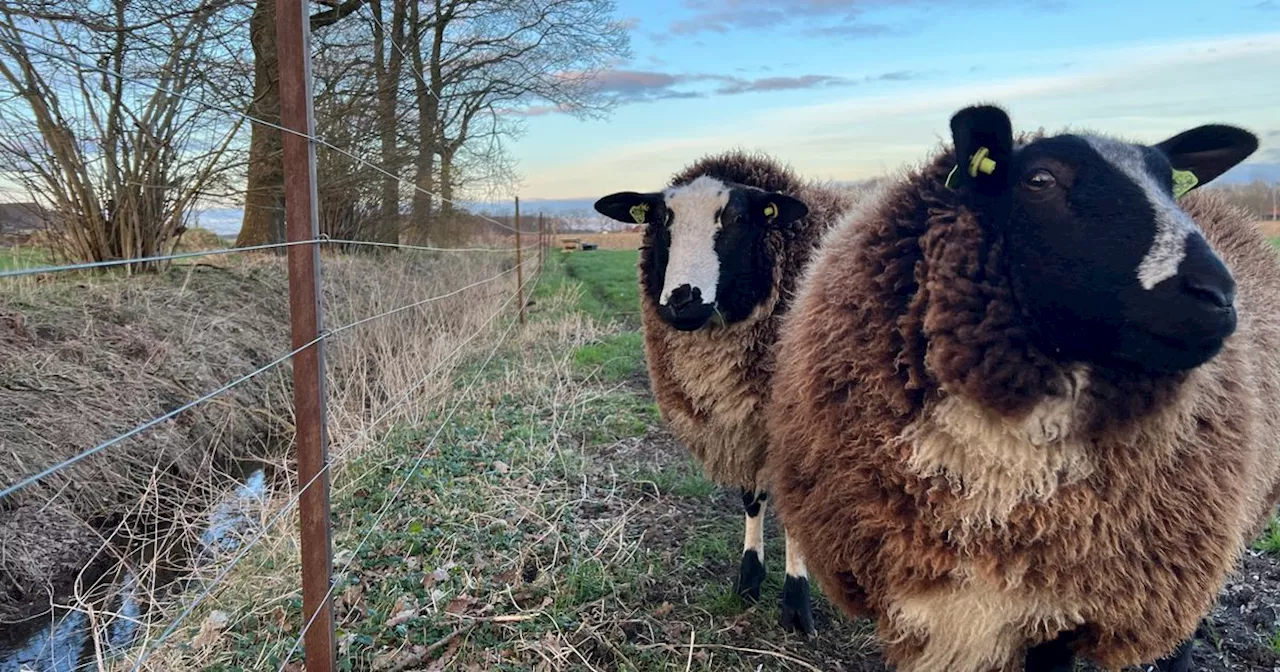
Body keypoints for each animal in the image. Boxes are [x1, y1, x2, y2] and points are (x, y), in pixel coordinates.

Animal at [593, 149, 855, 632]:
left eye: (735, 218)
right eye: (662, 219)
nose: (681, 299)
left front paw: (796, 603)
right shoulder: (742, 424)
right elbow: (752, 500)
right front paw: (749, 580)